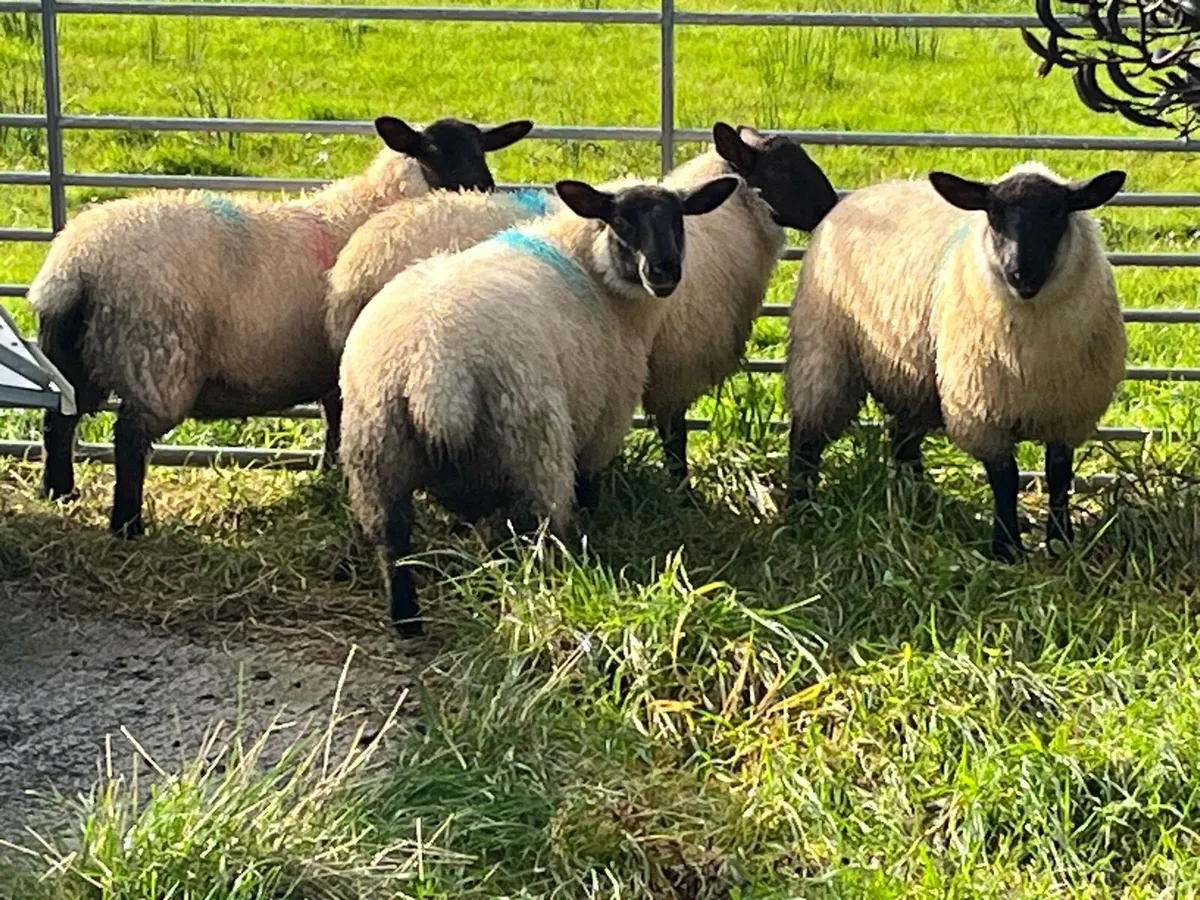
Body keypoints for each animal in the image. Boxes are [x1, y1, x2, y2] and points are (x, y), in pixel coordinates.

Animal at [30, 114, 534, 538]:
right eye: (429, 151)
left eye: (481, 150)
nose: (481, 191)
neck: (374, 204)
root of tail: (76, 264)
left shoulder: (334, 368)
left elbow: (334, 421)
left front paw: (330, 472)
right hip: (155, 359)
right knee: (129, 441)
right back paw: (127, 524)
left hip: (74, 356)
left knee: (59, 419)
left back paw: (60, 492)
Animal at [339, 174, 739, 635]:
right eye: (621, 220)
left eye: (679, 219)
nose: (664, 272)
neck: (590, 267)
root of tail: (433, 368)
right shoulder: (604, 416)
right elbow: (589, 484)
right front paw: (592, 525)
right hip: (532, 446)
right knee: (535, 530)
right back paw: (539, 588)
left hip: (377, 457)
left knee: (393, 544)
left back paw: (407, 620)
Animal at [784, 162, 1127, 560]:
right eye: (993, 214)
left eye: (1058, 211)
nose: (1021, 275)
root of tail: (859, 195)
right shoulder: (982, 411)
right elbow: (1006, 478)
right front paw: (1005, 548)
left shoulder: (1068, 414)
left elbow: (1059, 477)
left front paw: (1060, 541)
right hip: (824, 352)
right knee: (807, 436)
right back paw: (800, 509)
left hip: (911, 376)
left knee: (903, 441)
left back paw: (919, 505)